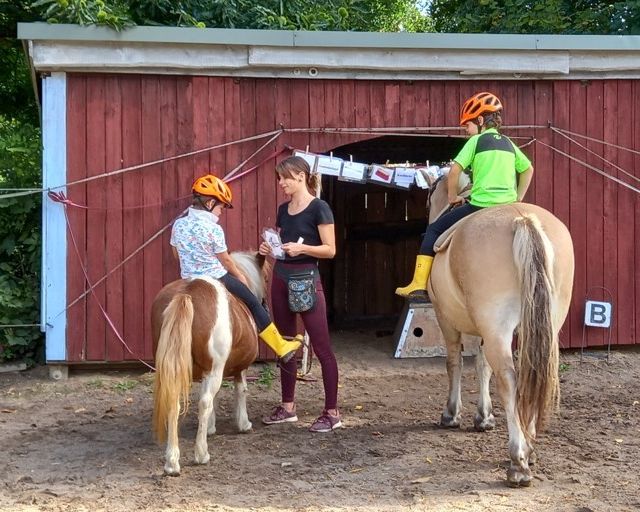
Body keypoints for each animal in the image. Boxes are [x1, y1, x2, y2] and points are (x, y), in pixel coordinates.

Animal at [152, 252, 268, 476]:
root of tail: (187, 293)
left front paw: (211, 428)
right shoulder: (237, 369)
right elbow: (240, 390)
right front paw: (243, 423)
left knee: (174, 402)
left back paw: (172, 462)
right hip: (214, 370)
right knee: (204, 401)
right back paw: (201, 454)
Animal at [428, 173, 572, 488]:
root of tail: (523, 220)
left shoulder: (446, 319)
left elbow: (455, 363)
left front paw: (452, 414)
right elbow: (482, 365)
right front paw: (484, 417)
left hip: (496, 327)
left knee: (509, 380)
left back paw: (518, 461)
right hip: (544, 325)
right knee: (534, 374)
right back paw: (530, 449)